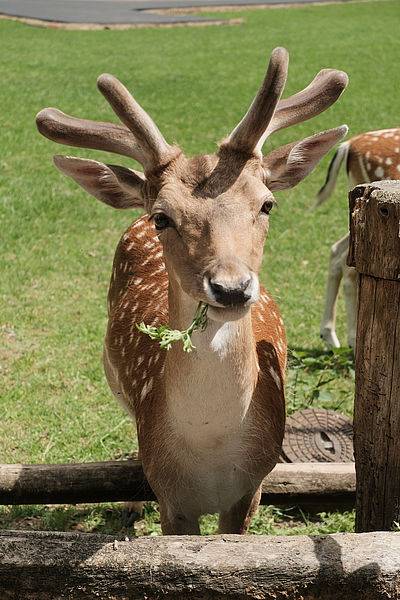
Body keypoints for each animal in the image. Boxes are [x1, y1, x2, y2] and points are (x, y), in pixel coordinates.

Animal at [37, 48, 348, 536]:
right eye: (163, 217)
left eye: (267, 203)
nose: (231, 288)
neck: (211, 452)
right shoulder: (172, 498)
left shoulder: (250, 491)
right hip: (114, 379)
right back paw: (130, 504)